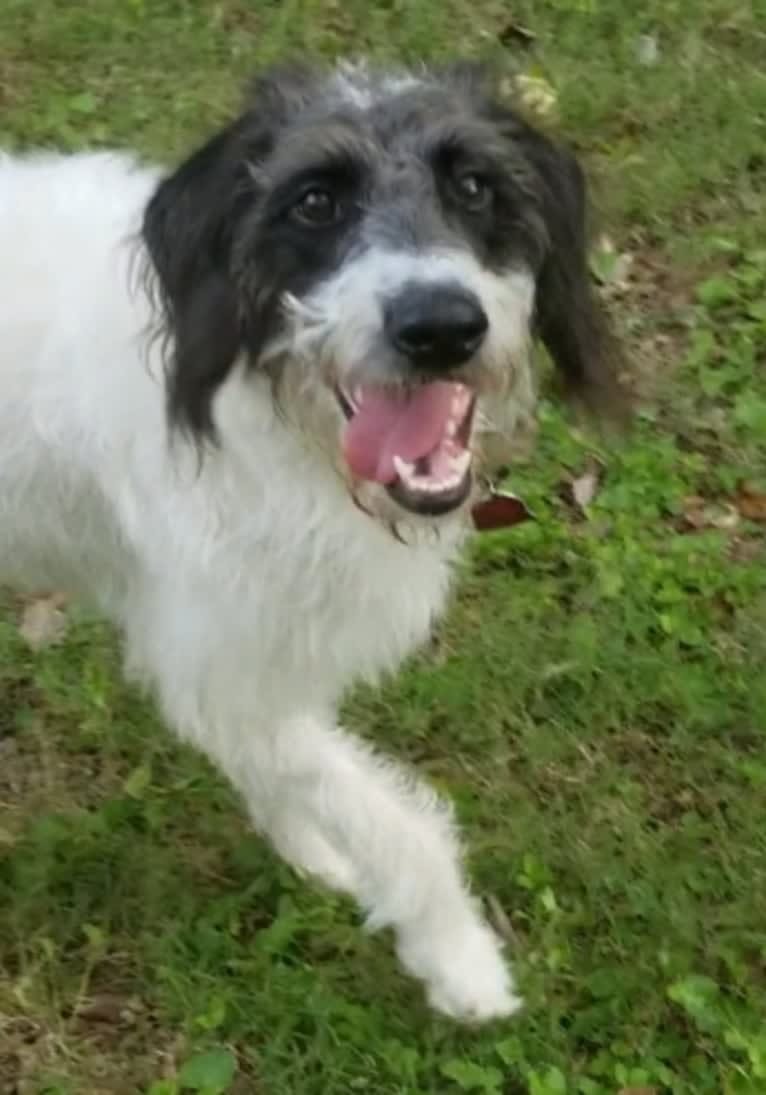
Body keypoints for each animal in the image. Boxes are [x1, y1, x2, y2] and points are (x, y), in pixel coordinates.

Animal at [0, 57, 621, 1016]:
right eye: (315, 202)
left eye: (475, 185)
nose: (440, 327)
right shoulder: (212, 656)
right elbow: (392, 817)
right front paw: (459, 958)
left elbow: (290, 765)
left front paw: (313, 848)